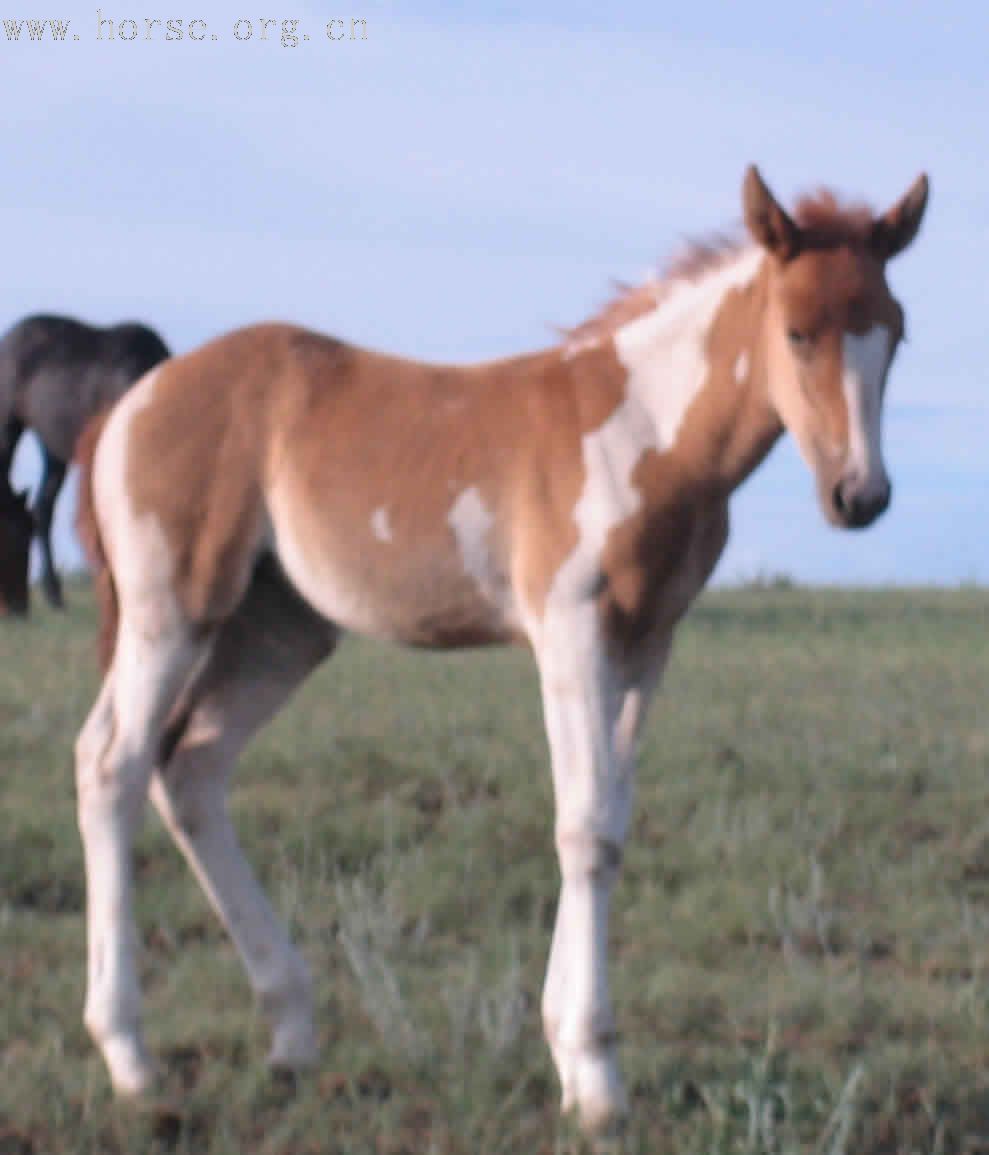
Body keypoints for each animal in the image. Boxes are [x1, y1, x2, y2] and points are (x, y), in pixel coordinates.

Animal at [75, 167, 928, 1131]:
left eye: (894, 331)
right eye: (796, 331)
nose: (860, 495)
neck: (639, 434)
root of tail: (130, 403)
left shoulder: (647, 642)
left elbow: (610, 822)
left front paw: (566, 1049)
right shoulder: (570, 632)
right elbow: (582, 826)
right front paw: (595, 1077)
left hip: (278, 633)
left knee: (191, 767)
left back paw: (291, 1032)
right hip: (172, 610)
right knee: (112, 763)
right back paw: (131, 1056)